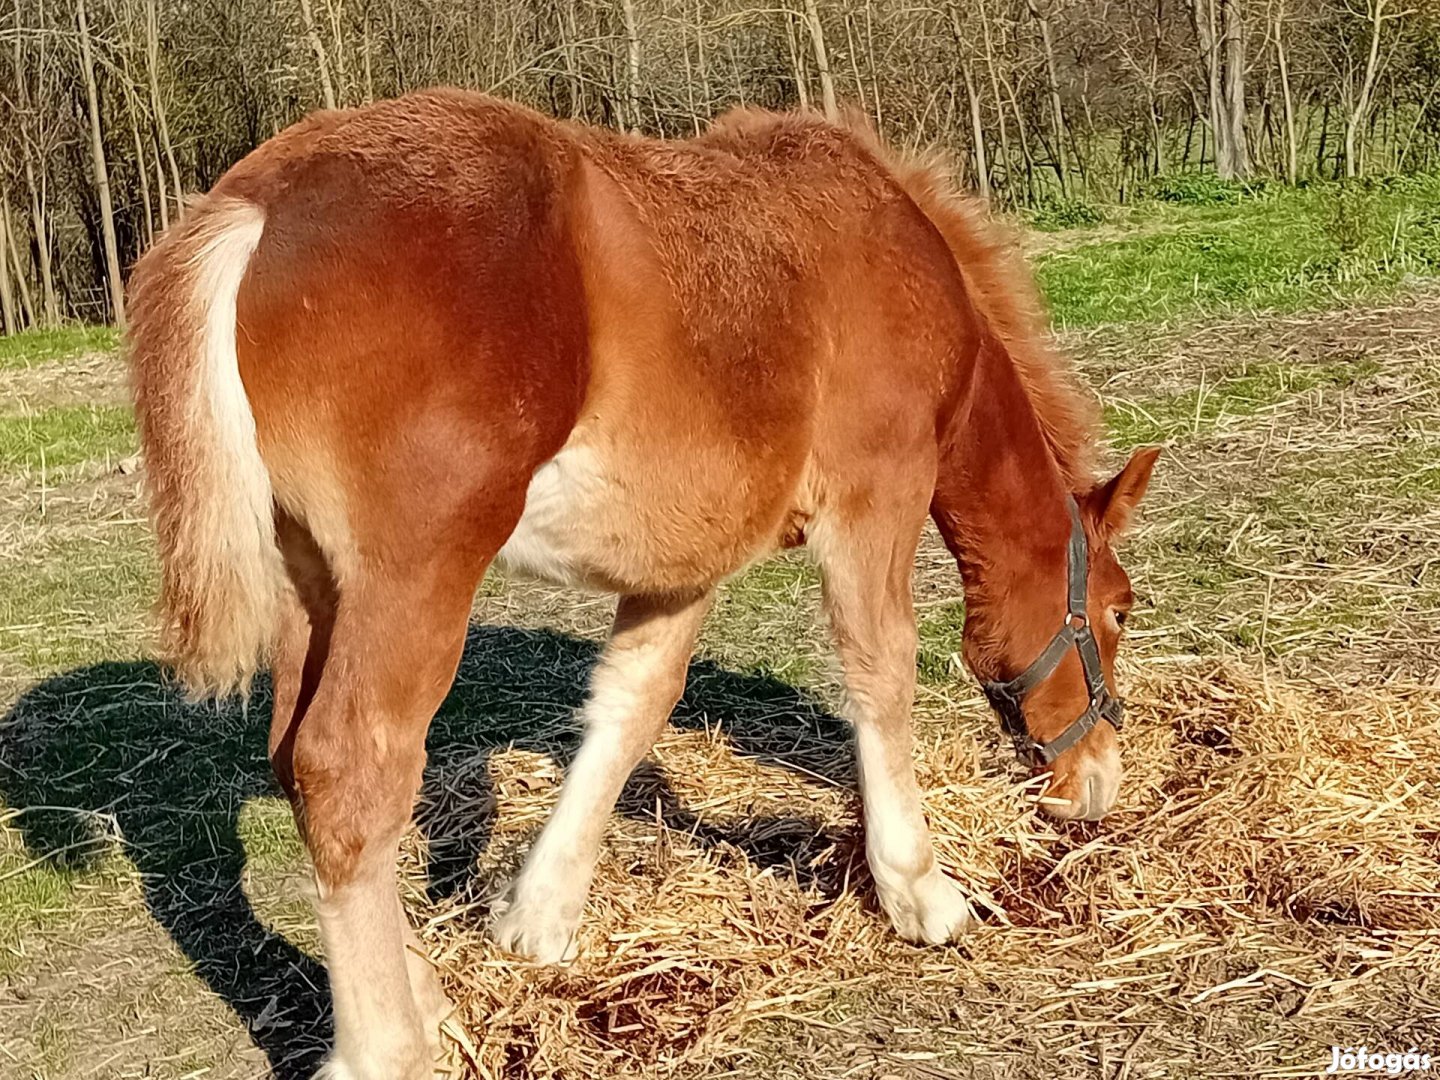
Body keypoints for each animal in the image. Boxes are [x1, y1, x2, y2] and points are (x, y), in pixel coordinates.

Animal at [129, 88, 1152, 1077]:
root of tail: (260, 203)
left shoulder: (686, 555)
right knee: (349, 773)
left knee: (296, 763)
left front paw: (537, 916)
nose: (1097, 780)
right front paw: (920, 892)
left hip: (316, 585)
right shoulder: (877, 498)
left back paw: (428, 999)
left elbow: (632, 704)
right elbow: (881, 673)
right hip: (412, 580)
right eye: (1117, 612)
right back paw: (389, 1050)